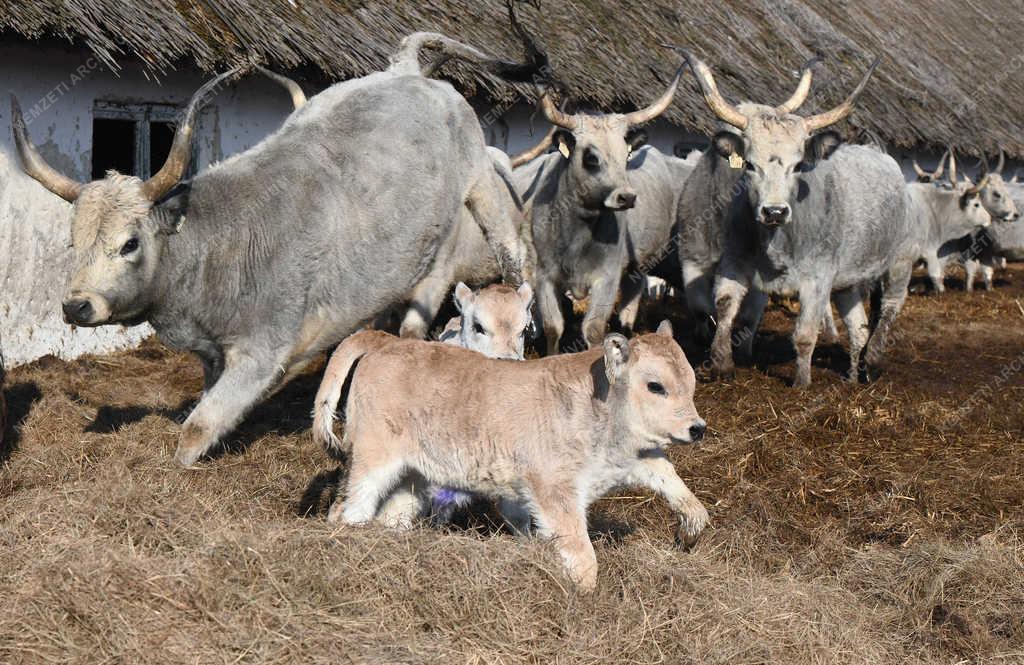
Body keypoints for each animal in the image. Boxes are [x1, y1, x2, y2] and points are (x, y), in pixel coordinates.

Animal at [14, 33, 544, 465]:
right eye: (74, 241)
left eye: (129, 243)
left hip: (482, 185)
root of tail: (406, 72)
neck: (219, 244)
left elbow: (194, 431)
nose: (77, 306)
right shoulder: (214, 357)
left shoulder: (261, 354)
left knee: (516, 255)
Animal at [315, 319, 708, 590]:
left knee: (390, 515)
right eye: (655, 386)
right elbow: (582, 555)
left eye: (690, 381)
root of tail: (388, 342)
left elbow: (672, 481)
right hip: (372, 461)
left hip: (415, 477)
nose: (697, 428)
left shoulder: (634, 458)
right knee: (349, 509)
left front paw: (690, 528)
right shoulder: (554, 491)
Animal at [675, 49, 917, 387]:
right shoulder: (731, 263)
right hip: (849, 281)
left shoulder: (817, 279)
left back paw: (873, 361)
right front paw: (721, 364)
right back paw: (852, 376)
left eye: (799, 165)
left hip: (899, 264)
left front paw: (801, 382)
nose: (774, 211)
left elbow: (804, 334)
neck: (774, 243)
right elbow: (723, 307)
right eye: (749, 164)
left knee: (889, 310)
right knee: (858, 327)